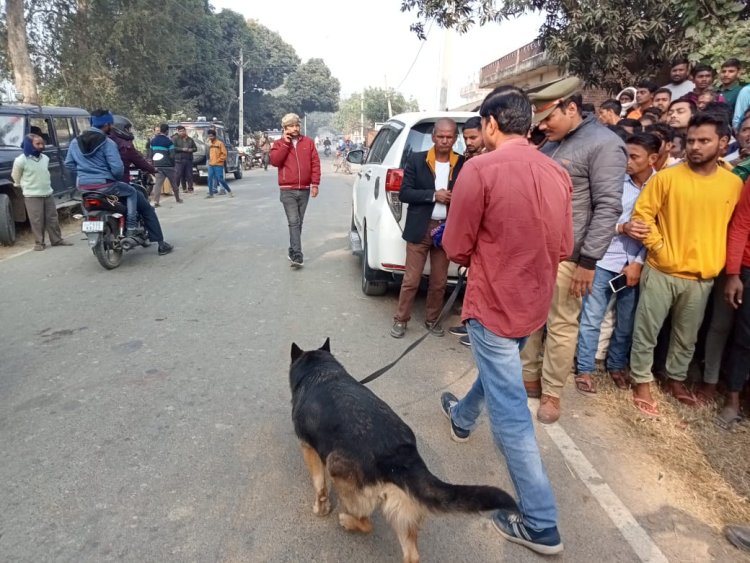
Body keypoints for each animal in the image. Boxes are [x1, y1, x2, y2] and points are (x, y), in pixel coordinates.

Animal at [290, 340, 520, 563]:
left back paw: (347, 520)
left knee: (366, 523)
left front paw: (321, 509)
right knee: (412, 555)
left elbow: (319, 486)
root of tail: (399, 454)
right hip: (402, 507)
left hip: (339, 472)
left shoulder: (309, 450)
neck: (321, 371)